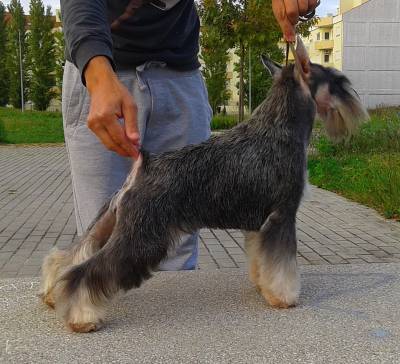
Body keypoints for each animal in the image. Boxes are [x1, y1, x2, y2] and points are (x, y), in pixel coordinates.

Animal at [39, 37, 368, 332]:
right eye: (338, 81)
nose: (359, 109)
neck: (279, 126)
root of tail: (144, 162)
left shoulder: (260, 226)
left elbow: (261, 261)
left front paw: (264, 287)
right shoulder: (282, 216)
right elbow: (282, 264)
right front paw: (284, 297)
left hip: (111, 221)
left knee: (71, 255)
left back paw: (52, 293)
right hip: (143, 236)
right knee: (88, 272)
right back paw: (82, 317)